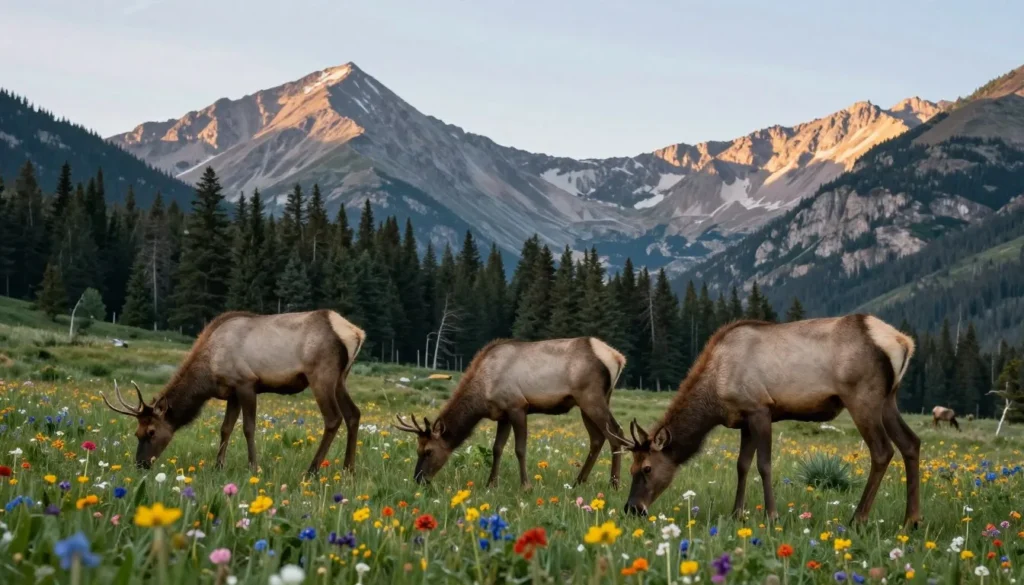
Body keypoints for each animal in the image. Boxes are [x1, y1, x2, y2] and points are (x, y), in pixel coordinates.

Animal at [101, 310, 366, 474]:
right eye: (136, 433)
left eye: (152, 432)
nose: (141, 464)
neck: (208, 373)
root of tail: (356, 333)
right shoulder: (232, 393)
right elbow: (225, 428)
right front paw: (218, 466)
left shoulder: (246, 383)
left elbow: (248, 427)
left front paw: (253, 467)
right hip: (341, 378)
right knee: (354, 414)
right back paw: (348, 469)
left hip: (321, 375)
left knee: (333, 418)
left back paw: (311, 470)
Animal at [394, 337, 627, 489]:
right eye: (417, 449)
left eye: (429, 451)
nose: (418, 479)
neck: (483, 392)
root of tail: (618, 358)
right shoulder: (503, 415)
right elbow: (497, 448)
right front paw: (491, 484)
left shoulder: (518, 406)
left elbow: (520, 449)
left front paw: (525, 486)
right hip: (589, 402)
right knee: (597, 439)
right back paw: (578, 481)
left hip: (590, 397)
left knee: (616, 433)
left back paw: (614, 485)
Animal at [613, 314, 920, 527]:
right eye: (631, 468)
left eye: (648, 468)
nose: (632, 508)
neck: (715, 394)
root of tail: (903, 342)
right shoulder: (744, 420)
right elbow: (742, 465)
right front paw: (737, 513)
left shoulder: (760, 409)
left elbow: (764, 465)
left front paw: (772, 516)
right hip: (888, 399)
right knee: (911, 443)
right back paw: (911, 520)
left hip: (862, 397)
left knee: (882, 450)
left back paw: (858, 518)